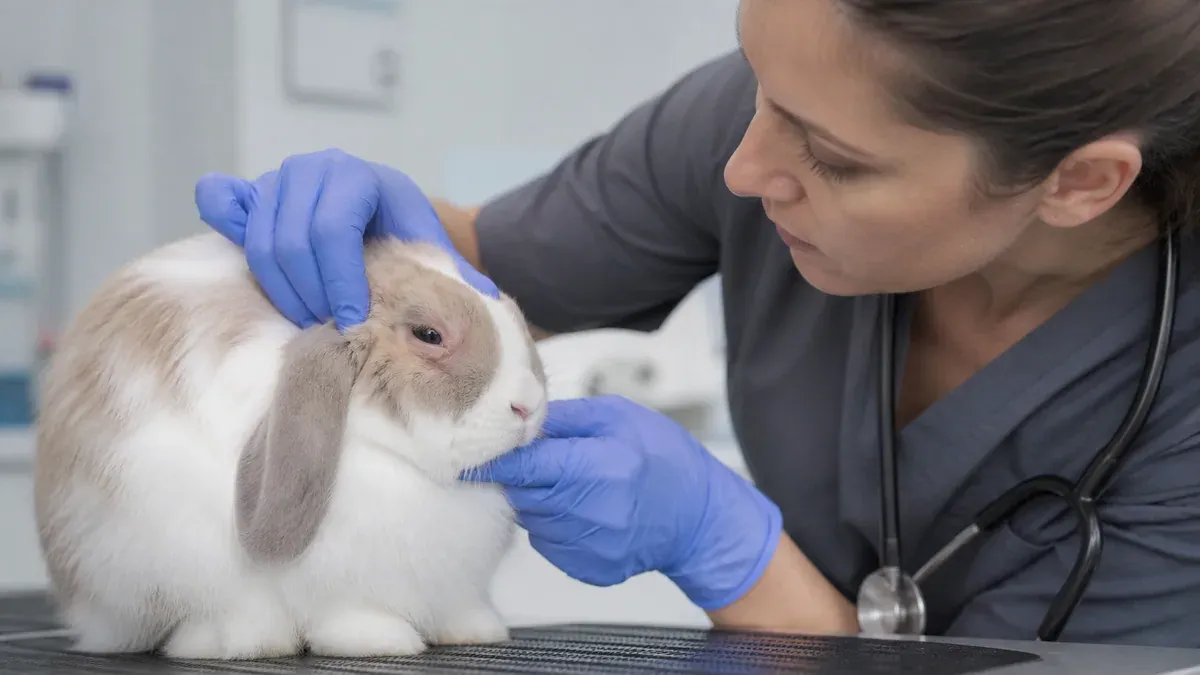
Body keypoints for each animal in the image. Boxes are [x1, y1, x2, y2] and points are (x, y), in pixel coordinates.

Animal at [32, 230, 548, 660]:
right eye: (429, 334)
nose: (527, 405)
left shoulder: (454, 585)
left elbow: (459, 608)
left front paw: (477, 631)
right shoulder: (346, 585)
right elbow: (353, 615)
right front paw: (383, 640)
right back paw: (244, 642)